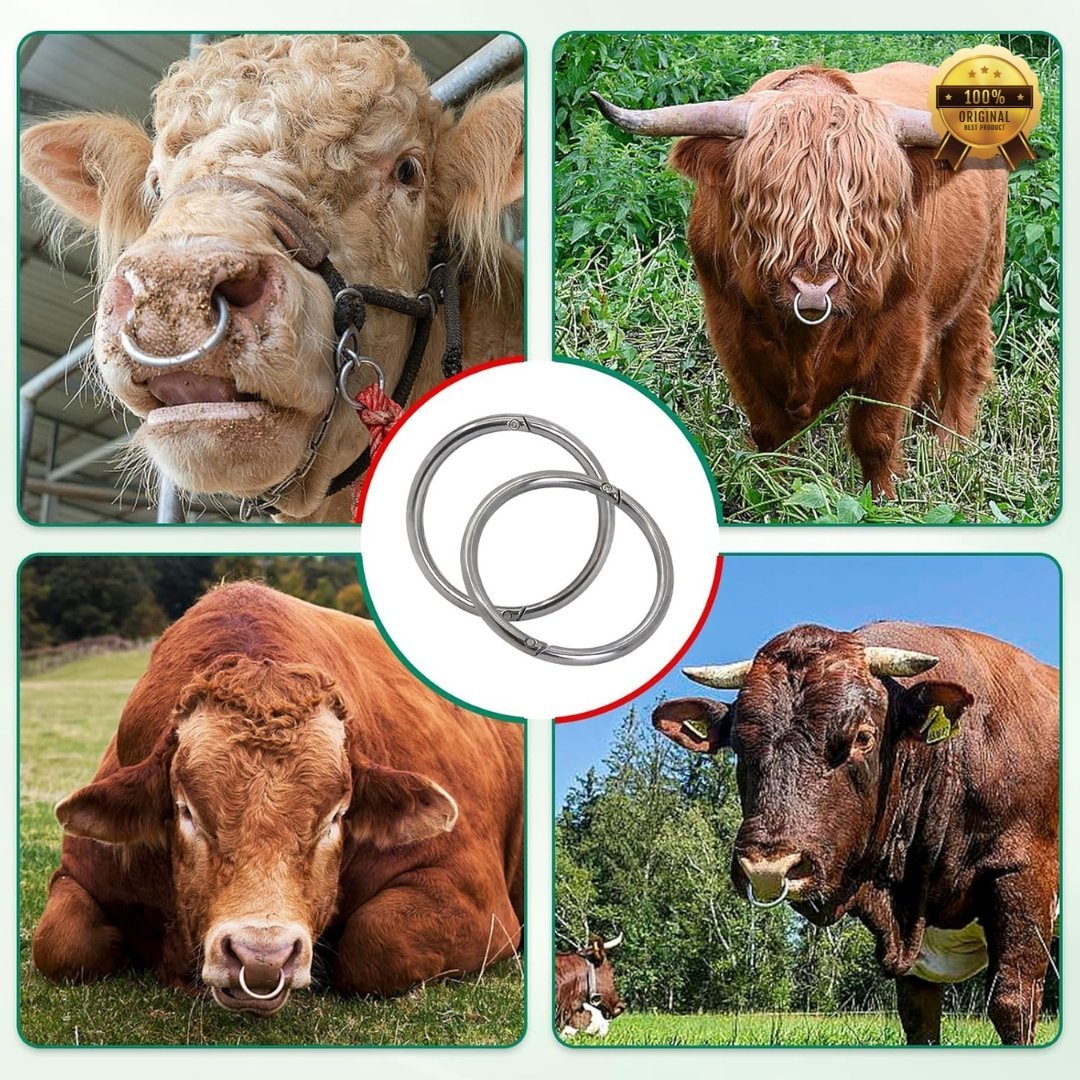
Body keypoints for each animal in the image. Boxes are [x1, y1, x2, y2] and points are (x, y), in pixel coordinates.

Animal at [31, 581, 524, 1016]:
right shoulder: (82, 870)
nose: (261, 957)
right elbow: (58, 942)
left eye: (335, 817)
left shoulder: (480, 903)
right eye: (187, 811)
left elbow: (376, 942)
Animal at [593, 63, 1009, 498]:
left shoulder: (902, 328)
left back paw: (949, 446)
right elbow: (770, 432)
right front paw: (774, 490)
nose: (813, 290)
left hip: (981, 279)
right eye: (761, 201)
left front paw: (884, 499)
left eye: (871, 207)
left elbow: (875, 433)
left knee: (965, 358)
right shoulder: (730, 330)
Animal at [651, 622, 1058, 1044]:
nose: (767, 869)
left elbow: (1013, 1004)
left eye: (863, 737)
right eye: (737, 743)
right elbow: (919, 1017)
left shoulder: (1024, 879)